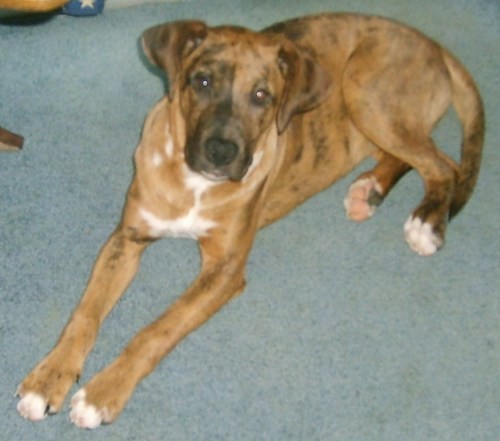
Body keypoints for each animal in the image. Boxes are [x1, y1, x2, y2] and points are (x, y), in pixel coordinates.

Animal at [16, 12, 484, 426]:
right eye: (202, 81)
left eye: (262, 96)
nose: (221, 153)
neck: (193, 183)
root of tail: (431, 43)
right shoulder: (126, 238)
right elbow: (84, 314)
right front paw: (48, 379)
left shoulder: (224, 271)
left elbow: (156, 330)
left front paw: (103, 393)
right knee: (411, 158)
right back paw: (368, 191)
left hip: (366, 91)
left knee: (445, 166)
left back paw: (427, 223)